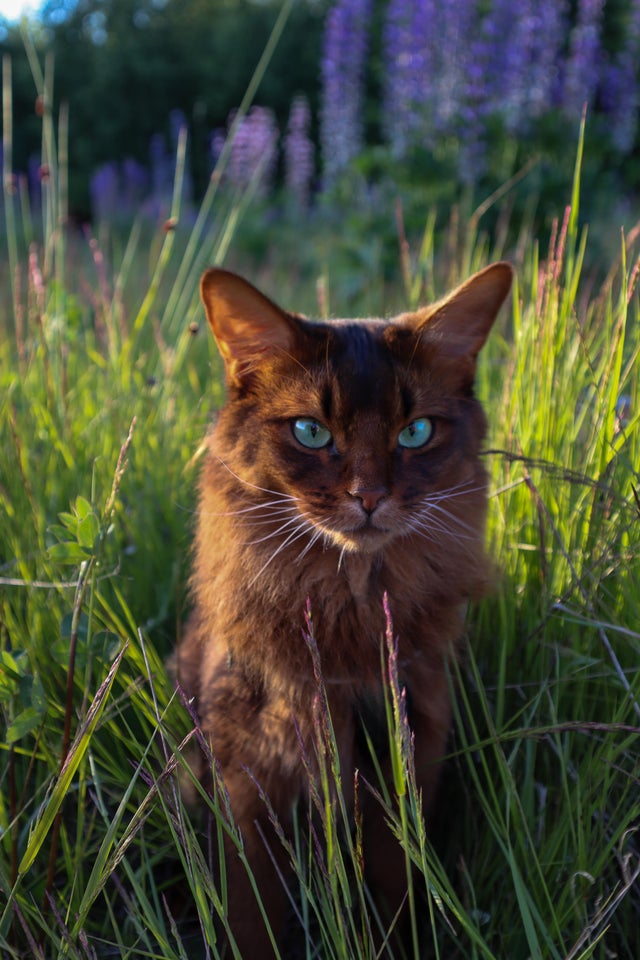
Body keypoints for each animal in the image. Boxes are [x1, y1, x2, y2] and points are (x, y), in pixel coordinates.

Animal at [176, 258, 516, 956]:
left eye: (416, 432)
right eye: (311, 432)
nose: (369, 497)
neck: (350, 610)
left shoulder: (407, 750)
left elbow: (395, 887)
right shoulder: (250, 775)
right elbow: (251, 911)